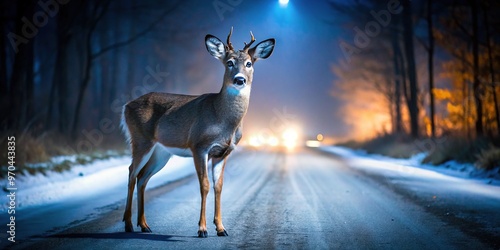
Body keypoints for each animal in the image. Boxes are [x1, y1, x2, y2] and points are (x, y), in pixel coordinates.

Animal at [122, 28, 276, 237]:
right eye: (229, 62)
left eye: (249, 63)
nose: (240, 79)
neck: (223, 121)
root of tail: (126, 106)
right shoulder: (199, 146)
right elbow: (204, 185)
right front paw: (202, 228)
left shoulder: (223, 152)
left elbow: (219, 186)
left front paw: (221, 228)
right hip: (141, 139)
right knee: (131, 172)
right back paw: (128, 224)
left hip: (161, 152)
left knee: (142, 177)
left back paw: (144, 225)